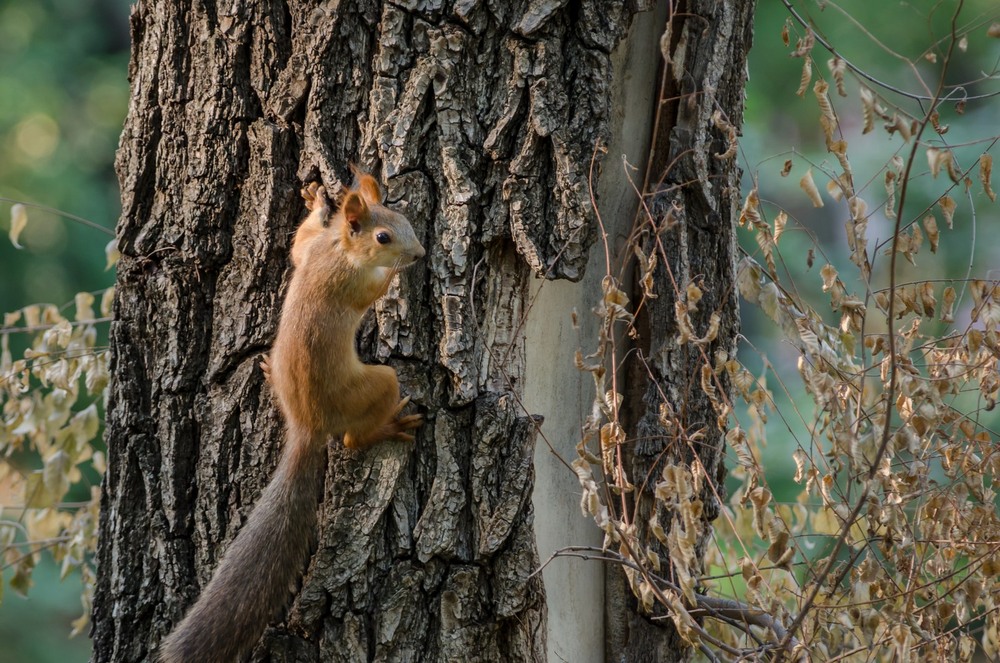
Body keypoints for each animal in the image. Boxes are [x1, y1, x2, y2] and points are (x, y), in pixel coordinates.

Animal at [158, 169, 424, 660]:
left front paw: (317, 203)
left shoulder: (311, 253)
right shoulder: (350, 282)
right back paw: (390, 426)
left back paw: (266, 370)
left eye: (405, 219)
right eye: (383, 236)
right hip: (378, 384)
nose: (419, 254)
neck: (341, 249)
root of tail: (308, 425)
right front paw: (396, 275)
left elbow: (297, 247)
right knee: (353, 438)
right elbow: (373, 290)